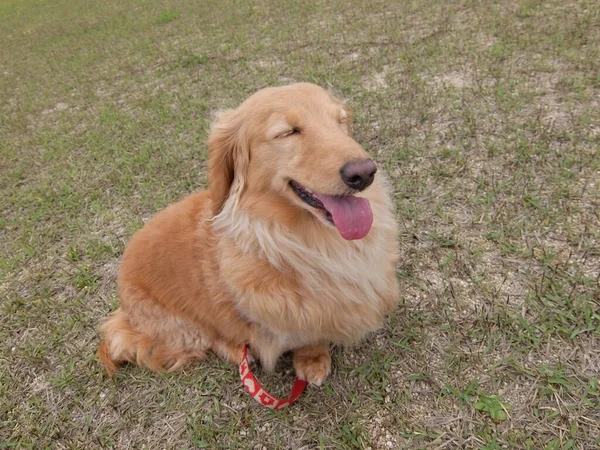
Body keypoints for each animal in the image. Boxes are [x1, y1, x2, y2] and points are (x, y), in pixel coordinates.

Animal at [97, 82, 398, 384]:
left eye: (340, 121)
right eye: (287, 132)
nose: (364, 173)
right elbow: (306, 336)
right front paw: (312, 359)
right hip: (182, 329)